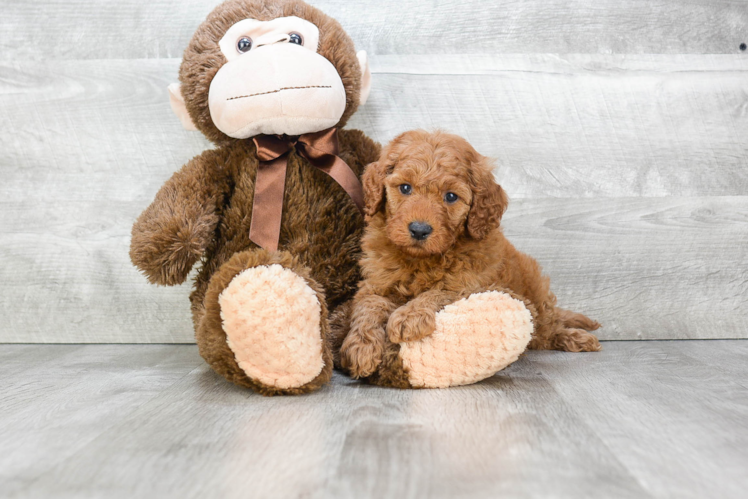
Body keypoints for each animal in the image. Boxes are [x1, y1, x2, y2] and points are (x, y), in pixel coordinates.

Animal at [334, 130, 600, 386]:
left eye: (451, 197)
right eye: (405, 188)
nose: (419, 230)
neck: (421, 259)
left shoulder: (472, 284)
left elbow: (440, 291)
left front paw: (409, 316)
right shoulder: (375, 283)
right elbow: (368, 307)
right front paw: (360, 347)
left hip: (537, 294)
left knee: (548, 328)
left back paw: (576, 337)